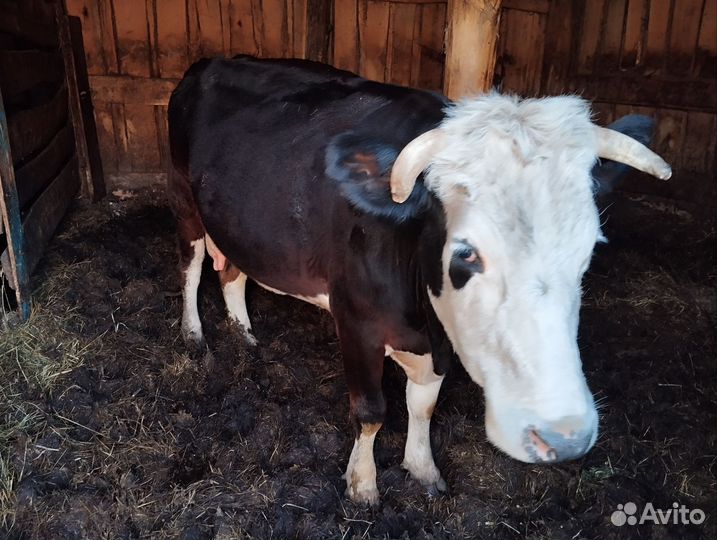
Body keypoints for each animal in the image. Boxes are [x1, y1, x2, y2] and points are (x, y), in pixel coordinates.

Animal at [167, 55, 671, 505]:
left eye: (589, 250)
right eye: (466, 253)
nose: (562, 436)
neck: (423, 322)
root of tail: (212, 61)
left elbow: (423, 406)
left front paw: (423, 469)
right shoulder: (355, 323)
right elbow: (371, 412)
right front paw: (363, 486)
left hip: (237, 225)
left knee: (232, 273)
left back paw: (246, 337)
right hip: (186, 203)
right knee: (191, 267)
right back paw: (195, 336)